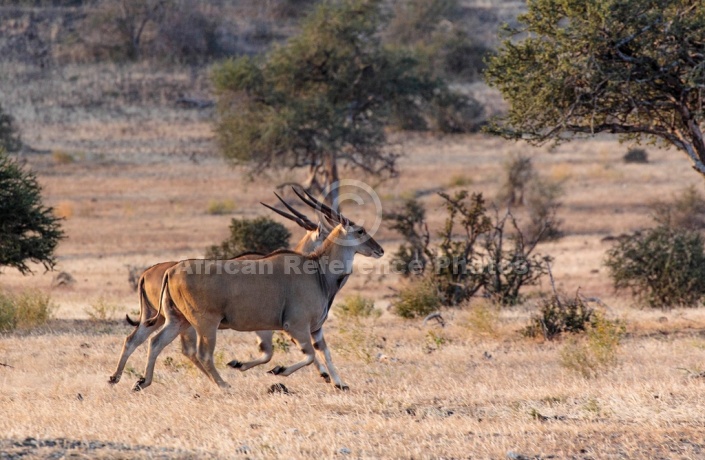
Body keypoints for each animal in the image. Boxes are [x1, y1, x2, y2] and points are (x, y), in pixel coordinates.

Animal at [134, 191, 382, 392]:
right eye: (360, 230)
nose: (380, 250)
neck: (317, 270)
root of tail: (171, 270)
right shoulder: (295, 326)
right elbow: (308, 355)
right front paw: (278, 370)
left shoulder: (314, 329)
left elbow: (322, 353)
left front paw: (340, 383)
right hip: (205, 324)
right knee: (201, 354)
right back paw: (225, 386)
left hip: (178, 320)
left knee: (154, 342)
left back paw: (142, 382)